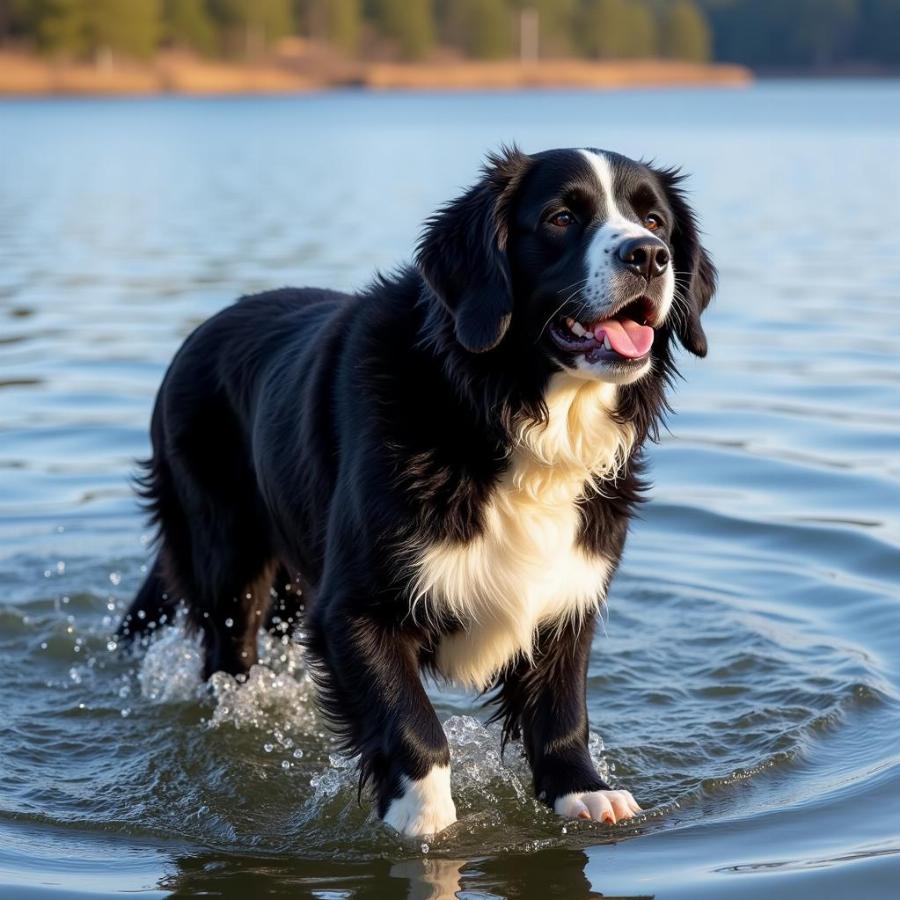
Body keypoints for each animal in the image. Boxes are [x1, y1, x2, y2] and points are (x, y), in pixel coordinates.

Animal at [118, 146, 716, 836]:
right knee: (228, 657)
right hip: (227, 559)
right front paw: (426, 818)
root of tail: (202, 330)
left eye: (655, 220)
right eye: (562, 217)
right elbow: (413, 724)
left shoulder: (570, 593)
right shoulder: (355, 609)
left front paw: (584, 792)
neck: (505, 414)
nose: (649, 256)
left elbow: (562, 710)